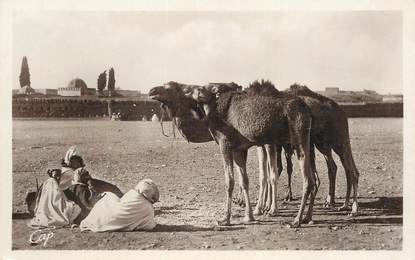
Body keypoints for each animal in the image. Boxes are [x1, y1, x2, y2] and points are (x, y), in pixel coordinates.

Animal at [152, 82, 318, 228]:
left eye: (171, 87)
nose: (152, 91)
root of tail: (306, 109)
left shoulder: (225, 144)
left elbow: (229, 181)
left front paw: (225, 219)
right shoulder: (239, 149)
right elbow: (244, 180)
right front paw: (249, 216)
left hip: (297, 136)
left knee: (306, 179)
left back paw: (295, 220)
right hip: (302, 141)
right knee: (310, 178)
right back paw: (306, 217)